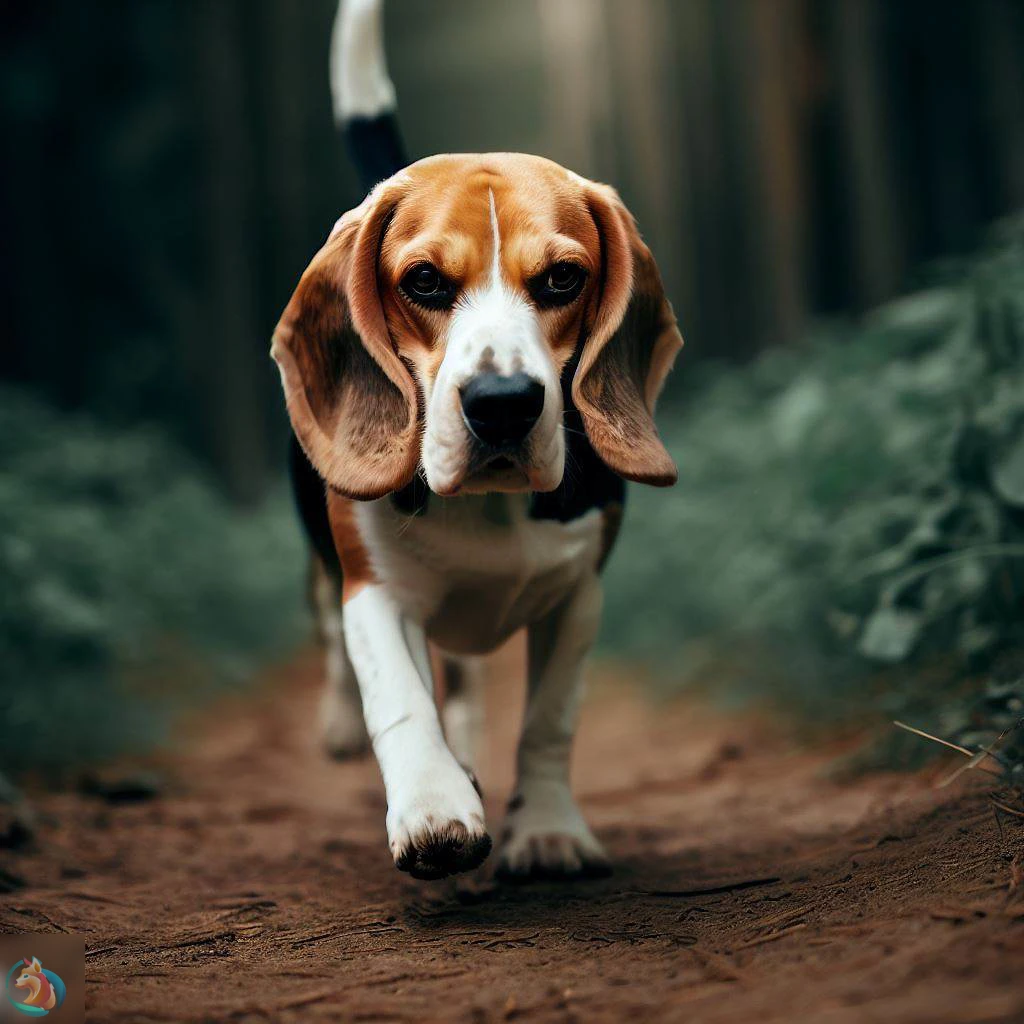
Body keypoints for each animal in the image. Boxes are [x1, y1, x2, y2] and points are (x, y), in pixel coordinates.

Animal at [274, 0, 679, 880]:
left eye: (562, 278)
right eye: (423, 281)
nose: (502, 406)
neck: (492, 505)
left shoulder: (580, 591)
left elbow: (548, 721)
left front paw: (549, 828)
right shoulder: (372, 589)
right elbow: (398, 698)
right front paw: (432, 809)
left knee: (460, 684)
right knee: (333, 636)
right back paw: (344, 724)